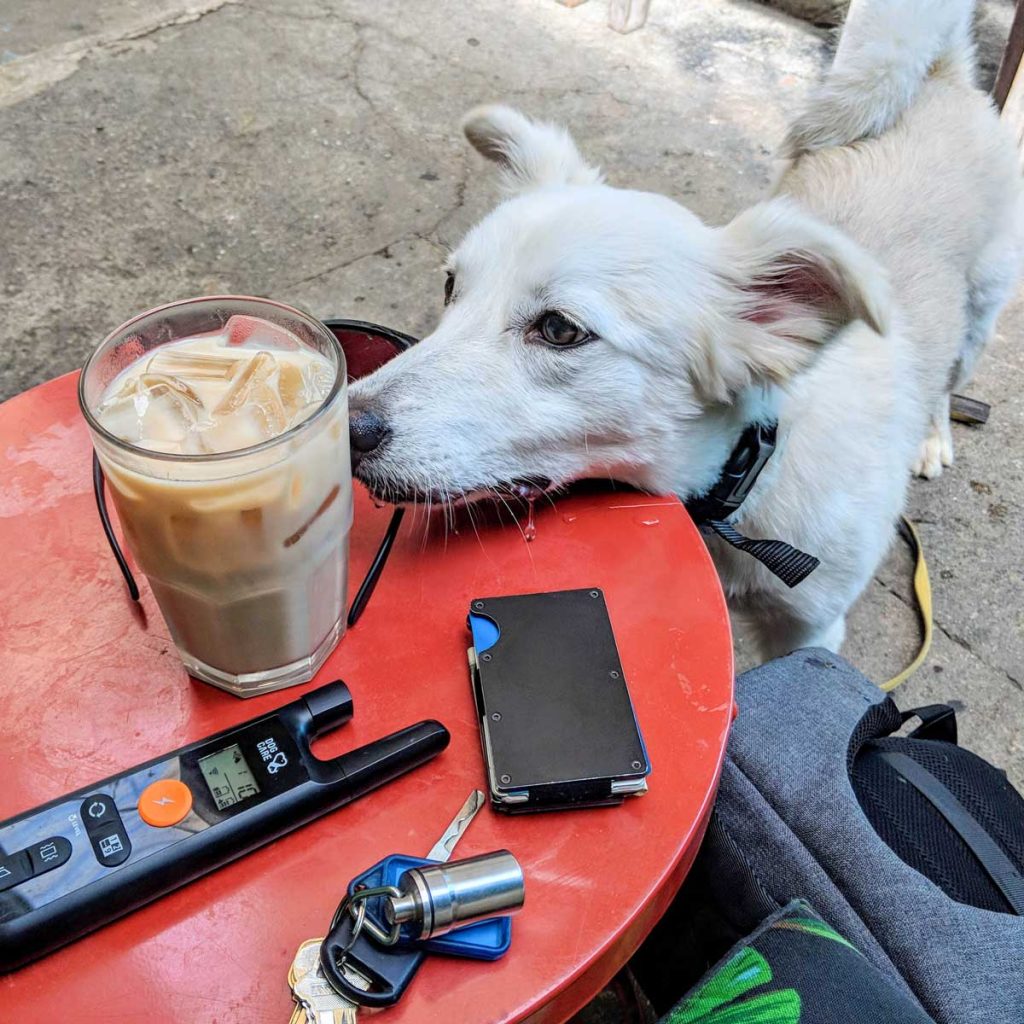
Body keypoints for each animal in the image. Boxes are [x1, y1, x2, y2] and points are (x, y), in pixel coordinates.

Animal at [350, 0, 1024, 655]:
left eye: (561, 330)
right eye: (450, 288)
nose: (349, 429)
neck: (746, 476)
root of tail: (941, 80)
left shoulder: (811, 629)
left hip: (979, 317)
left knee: (947, 382)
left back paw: (932, 438)